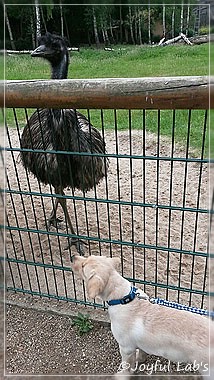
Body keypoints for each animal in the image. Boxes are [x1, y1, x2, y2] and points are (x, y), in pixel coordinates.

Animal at [71, 254, 213, 378]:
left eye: (83, 266)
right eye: (87, 257)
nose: (73, 256)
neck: (122, 298)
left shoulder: (126, 347)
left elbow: (127, 365)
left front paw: (123, 375)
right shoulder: (141, 343)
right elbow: (141, 353)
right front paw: (140, 359)